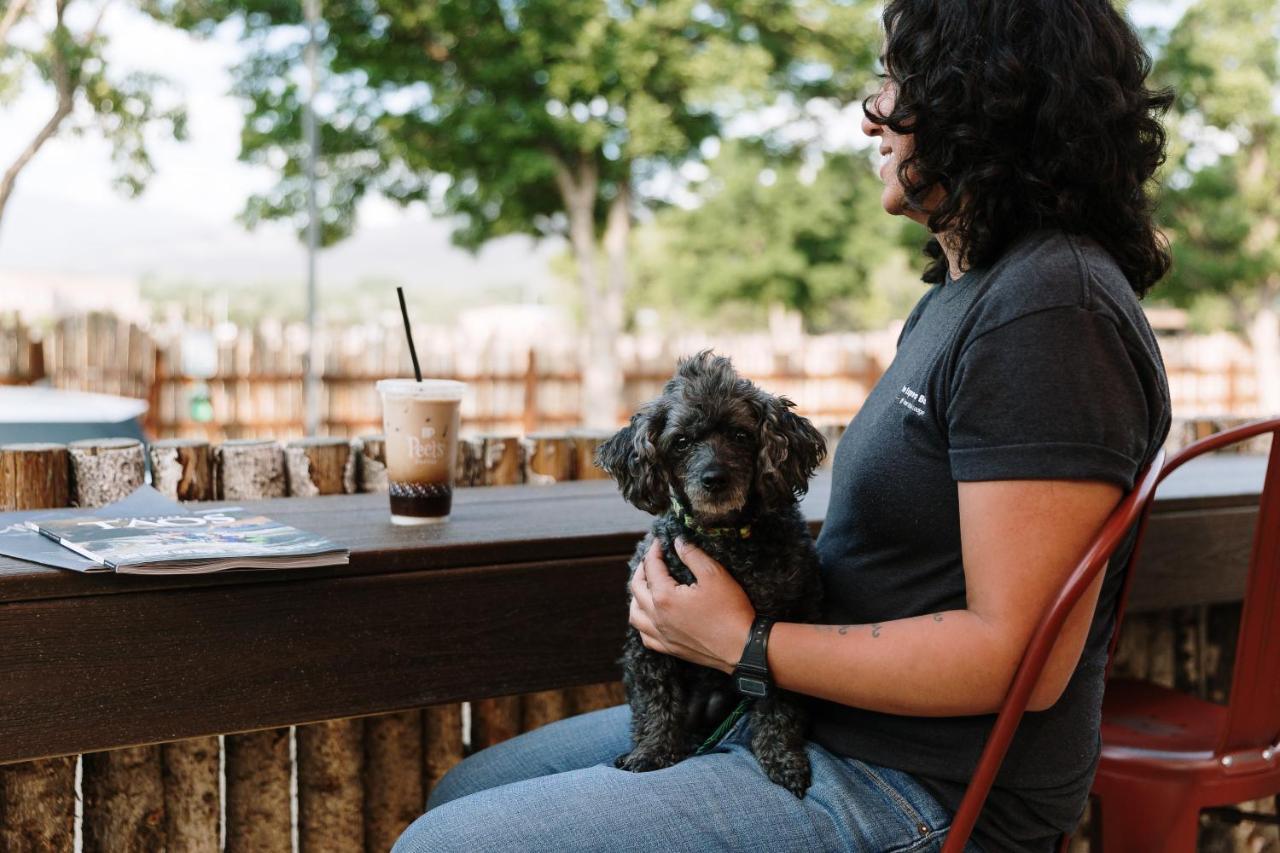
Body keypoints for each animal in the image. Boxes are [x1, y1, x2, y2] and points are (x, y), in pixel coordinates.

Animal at [593, 348, 824, 794]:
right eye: (681, 441)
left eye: (741, 435)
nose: (714, 478)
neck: (723, 539)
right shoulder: (647, 643)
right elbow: (655, 703)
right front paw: (651, 751)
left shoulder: (783, 624)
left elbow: (779, 706)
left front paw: (783, 758)